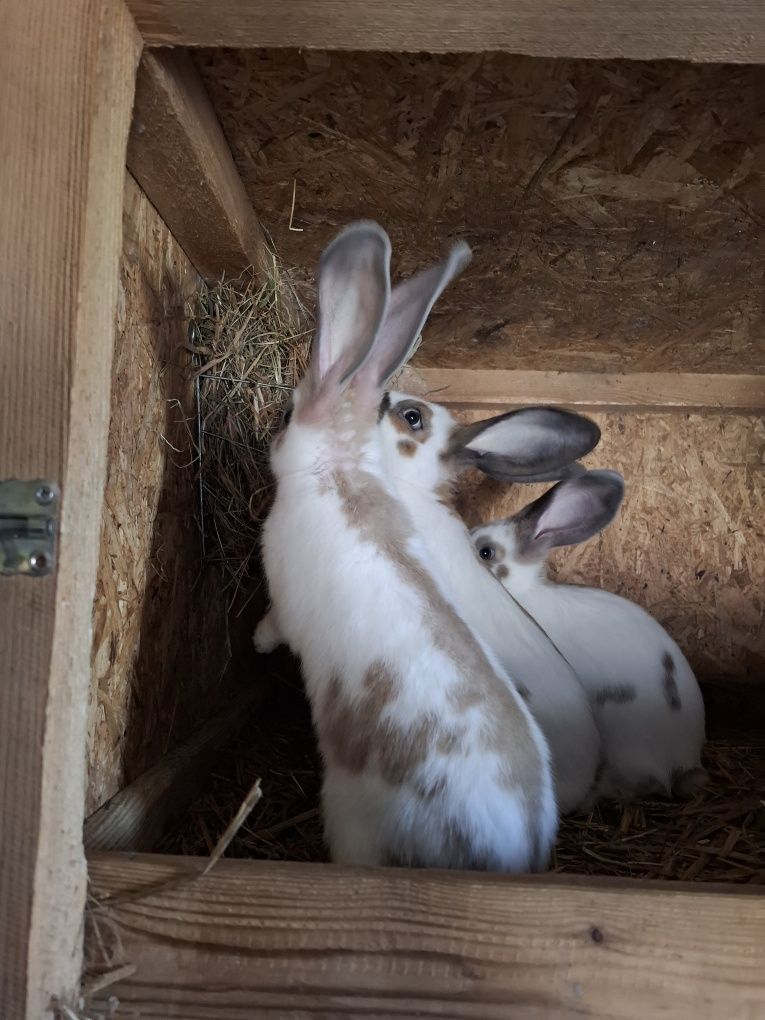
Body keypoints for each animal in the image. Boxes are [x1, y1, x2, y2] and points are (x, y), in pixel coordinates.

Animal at [258, 227, 558, 873]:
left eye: (290, 413)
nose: (272, 433)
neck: (339, 468)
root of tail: (509, 855)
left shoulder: (284, 603)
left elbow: (274, 626)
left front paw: (256, 642)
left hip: (355, 825)